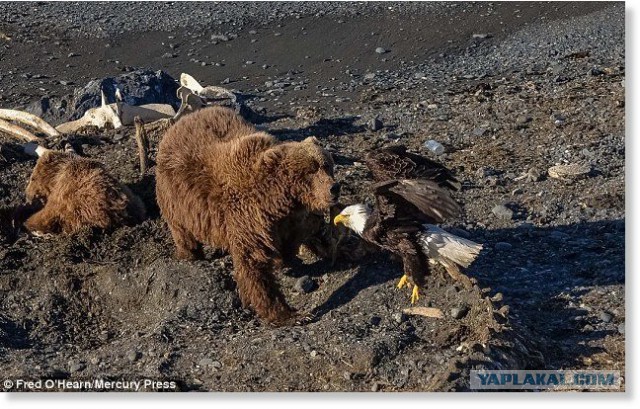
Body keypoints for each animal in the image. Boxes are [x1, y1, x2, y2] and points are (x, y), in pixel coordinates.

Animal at [155, 107, 340, 324]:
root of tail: (177, 124)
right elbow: (254, 262)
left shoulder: (287, 220)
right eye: (311, 170)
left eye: (326, 165)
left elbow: (297, 235)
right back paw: (190, 254)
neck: (279, 198)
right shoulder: (248, 215)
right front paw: (288, 313)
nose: (334, 188)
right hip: (176, 197)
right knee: (182, 230)